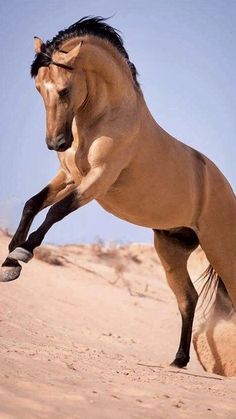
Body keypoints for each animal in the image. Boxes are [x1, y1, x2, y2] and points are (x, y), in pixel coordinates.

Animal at [0, 18, 235, 370]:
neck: (105, 118)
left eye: (64, 90)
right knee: (187, 298)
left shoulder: (98, 179)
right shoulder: (68, 177)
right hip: (170, 248)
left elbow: (55, 211)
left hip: (220, 248)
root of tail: (226, 189)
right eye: (39, 88)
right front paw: (9, 262)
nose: (56, 143)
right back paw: (179, 360)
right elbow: (32, 204)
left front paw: (22, 253)